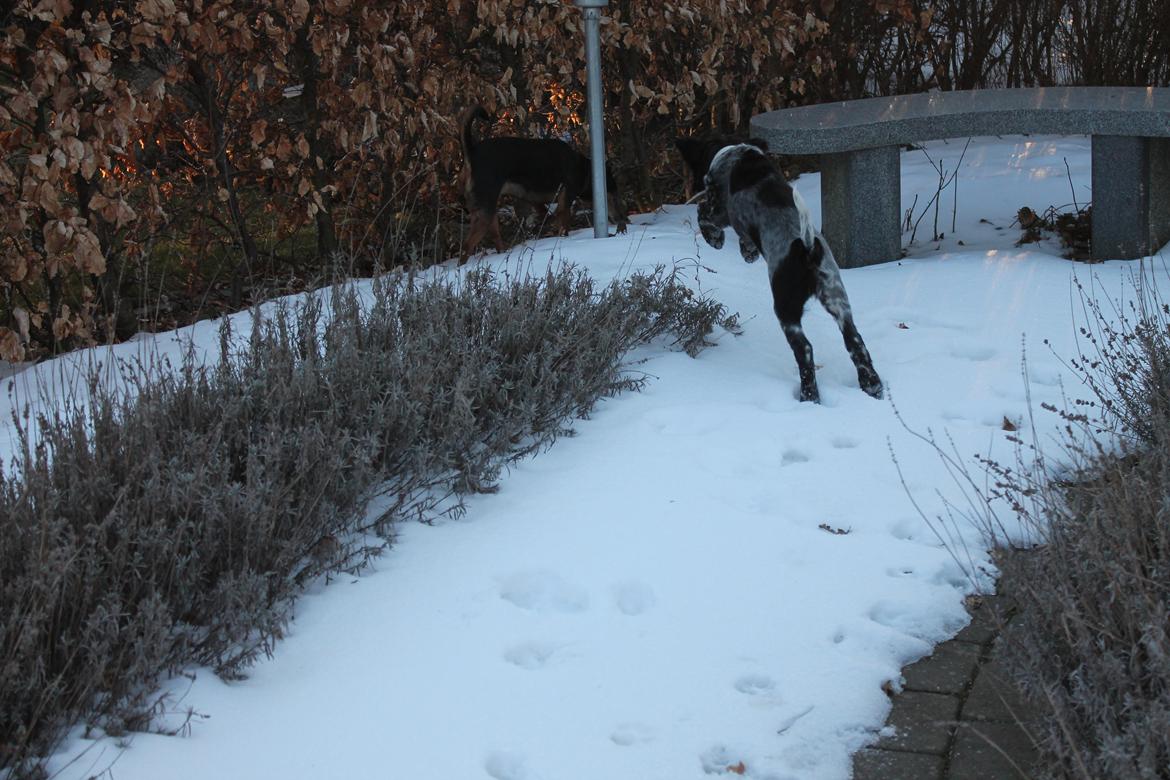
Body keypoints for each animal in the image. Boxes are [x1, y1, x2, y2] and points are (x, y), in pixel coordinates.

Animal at [456, 107, 627, 265]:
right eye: (612, 197)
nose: (621, 219)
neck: (585, 170)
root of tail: (472, 153)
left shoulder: (534, 200)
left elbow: (548, 215)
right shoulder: (565, 200)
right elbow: (563, 224)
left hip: (489, 212)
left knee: (495, 239)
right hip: (484, 213)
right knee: (466, 246)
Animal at [697, 142, 879, 406]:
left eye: (709, 183)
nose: (705, 184)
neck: (745, 160)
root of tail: (807, 249)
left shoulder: (726, 213)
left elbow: (704, 214)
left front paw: (719, 241)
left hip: (786, 309)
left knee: (805, 350)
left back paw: (809, 396)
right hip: (837, 297)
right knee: (855, 342)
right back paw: (872, 386)